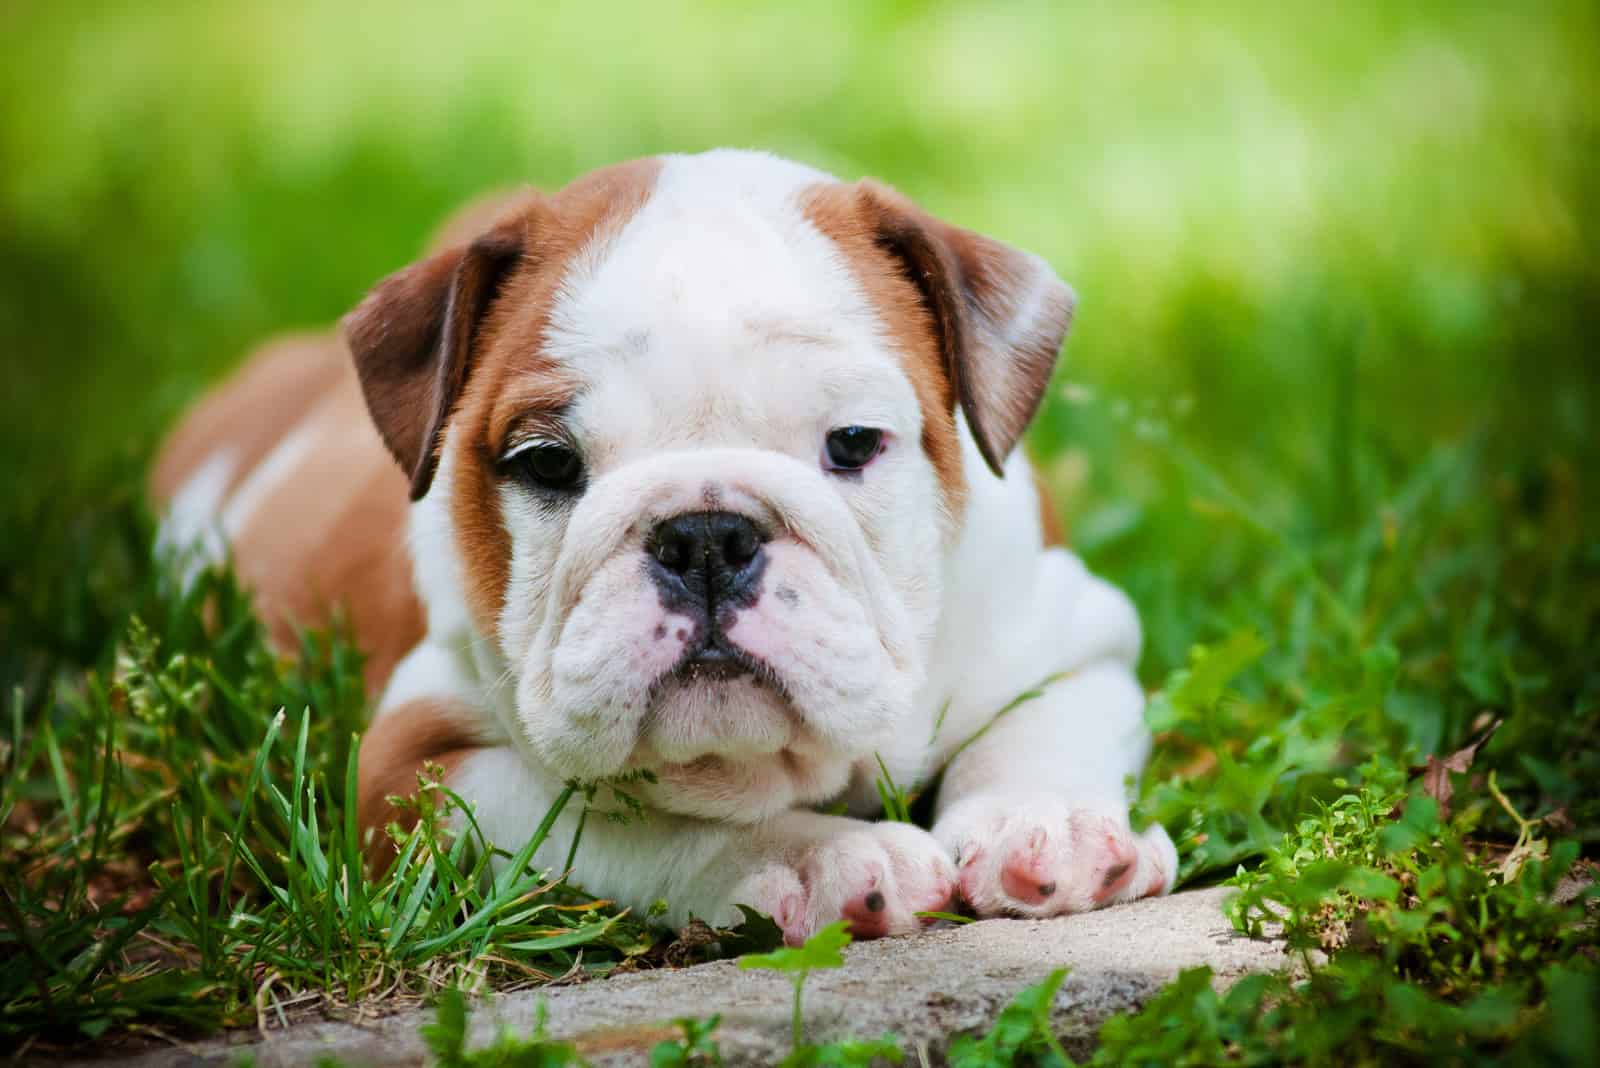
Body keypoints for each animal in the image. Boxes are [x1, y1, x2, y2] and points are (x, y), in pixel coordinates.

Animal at [152, 147, 1177, 940]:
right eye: (545, 462)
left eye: (853, 443)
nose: (707, 537)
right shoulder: (419, 771)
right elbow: (628, 818)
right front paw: (818, 858)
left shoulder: (1074, 635)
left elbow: (1041, 726)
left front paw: (1047, 828)